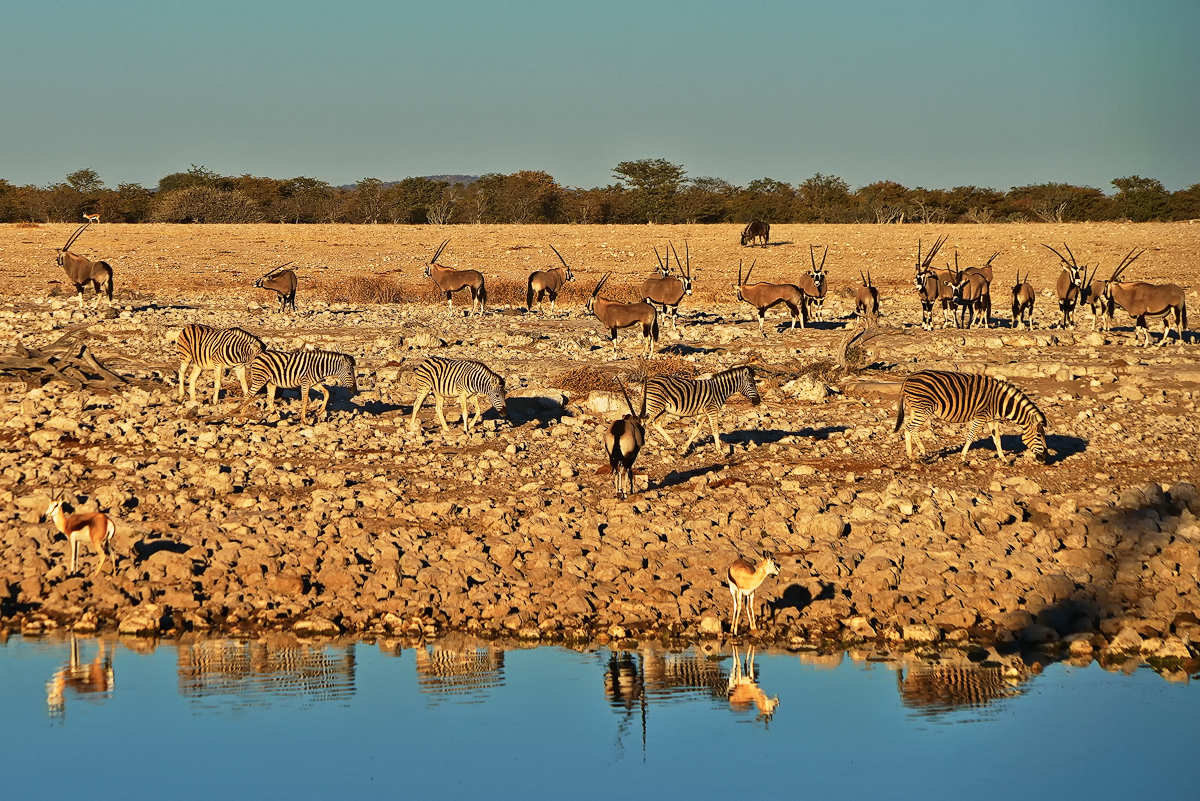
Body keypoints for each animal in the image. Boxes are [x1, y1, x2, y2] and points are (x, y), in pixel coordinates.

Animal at [892, 371, 1051, 462]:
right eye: (1039, 436)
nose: (1045, 459)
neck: (1001, 402)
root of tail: (908, 378)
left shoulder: (993, 420)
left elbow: (997, 439)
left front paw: (1003, 458)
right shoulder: (980, 417)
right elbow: (971, 436)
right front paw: (962, 457)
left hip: (915, 409)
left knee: (907, 428)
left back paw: (911, 456)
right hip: (923, 409)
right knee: (911, 428)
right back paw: (923, 451)